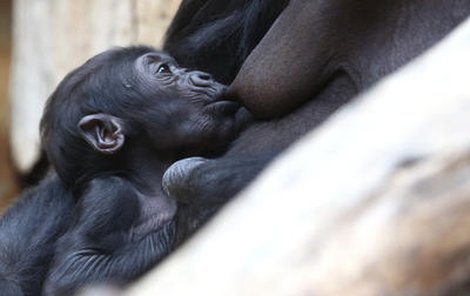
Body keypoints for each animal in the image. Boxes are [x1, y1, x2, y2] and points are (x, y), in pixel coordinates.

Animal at [40, 45, 244, 294]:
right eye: (164, 70)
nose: (204, 76)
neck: (148, 178)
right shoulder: (107, 194)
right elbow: (72, 272)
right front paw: (195, 212)